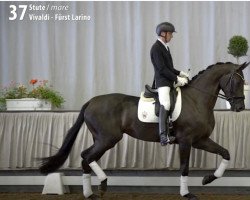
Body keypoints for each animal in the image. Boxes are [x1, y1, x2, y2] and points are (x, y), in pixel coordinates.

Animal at [39, 61, 248, 199]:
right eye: (237, 82)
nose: (240, 107)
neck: (197, 100)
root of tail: (91, 101)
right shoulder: (186, 141)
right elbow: (184, 167)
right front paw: (186, 193)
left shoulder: (200, 140)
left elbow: (226, 153)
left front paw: (208, 179)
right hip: (107, 139)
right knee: (87, 157)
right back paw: (102, 186)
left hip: (101, 139)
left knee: (86, 158)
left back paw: (90, 193)